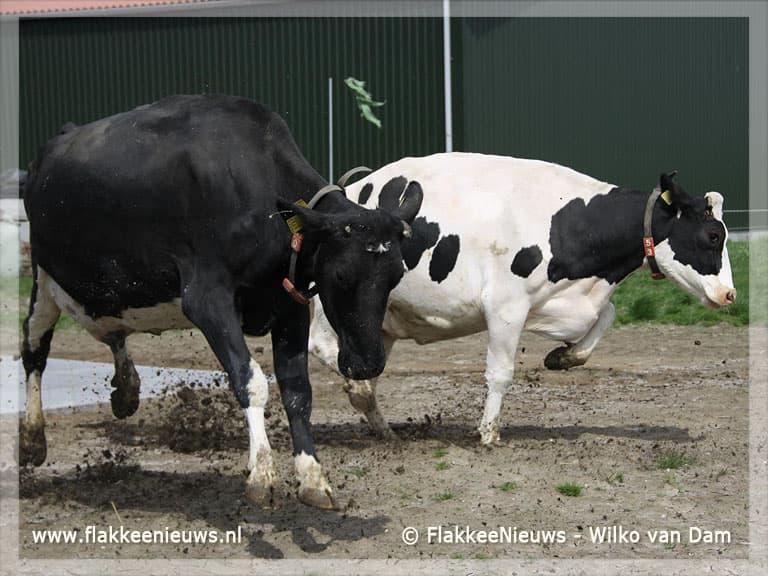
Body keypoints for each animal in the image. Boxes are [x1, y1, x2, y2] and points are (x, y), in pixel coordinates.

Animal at [20, 94, 423, 510]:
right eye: (341, 275)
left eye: (396, 274)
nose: (369, 364)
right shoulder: (207, 299)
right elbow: (251, 380)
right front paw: (262, 473)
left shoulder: (290, 305)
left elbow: (297, 390)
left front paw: (312, 477)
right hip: (44, 280)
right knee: (34, 350)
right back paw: (32, 439)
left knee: (114, 334)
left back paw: (127, 389)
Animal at [309, 152, 736, 444]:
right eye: (713, 235)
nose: (730, 294)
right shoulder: (505, 307)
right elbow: (501, 373)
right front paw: (488, 432)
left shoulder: (566, 300)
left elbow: (607, 316)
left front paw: (562, 357)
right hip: (338, 306)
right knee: (325, 348)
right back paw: (361, 393)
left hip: (380, 322)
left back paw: (383, 427)